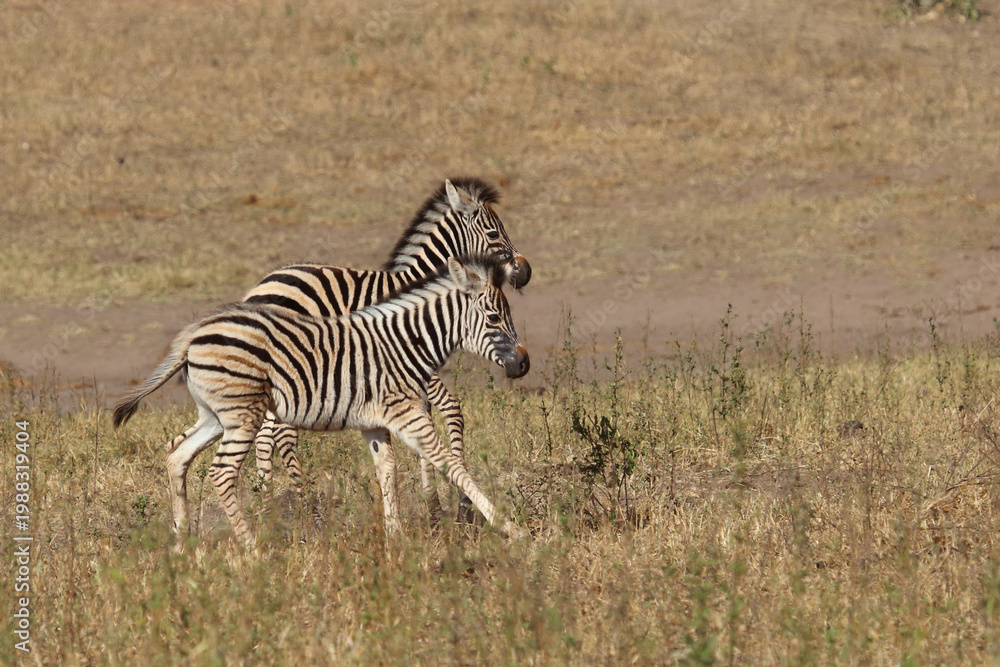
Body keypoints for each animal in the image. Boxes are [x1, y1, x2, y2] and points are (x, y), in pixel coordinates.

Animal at [112, 255, 530, 547]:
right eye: (494, 318)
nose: (524, 363)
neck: (403, 344)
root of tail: (195, 333)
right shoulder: (406, 413)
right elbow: (451, 464)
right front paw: (510, 528)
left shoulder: (375, 423)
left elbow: (387, 472)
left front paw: (394, 538)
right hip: (244, 414)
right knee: (221, 473)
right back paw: (252, 549)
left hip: (216, 416)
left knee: (177, 455)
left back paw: (182, 540)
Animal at [243, 177, 531, 515]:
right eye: (494, 233)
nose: (525, 271)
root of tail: (259, 287)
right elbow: (450, 409)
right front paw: (454, 503)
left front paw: (433, 501)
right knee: (278, 431)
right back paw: (301, 505)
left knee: (265, 433)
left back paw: (267, 502)